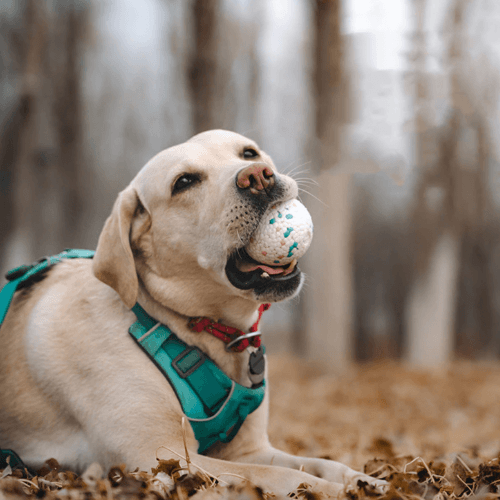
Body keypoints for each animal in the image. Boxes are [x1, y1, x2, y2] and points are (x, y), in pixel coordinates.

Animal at [0, 131, 386, 498]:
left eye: (248, 153)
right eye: (184, 182)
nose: (257, 176)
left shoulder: (249, 450)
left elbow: (321, 465)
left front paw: (368, 480)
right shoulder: (156, 453)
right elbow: (278, 475)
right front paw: (339, 492)